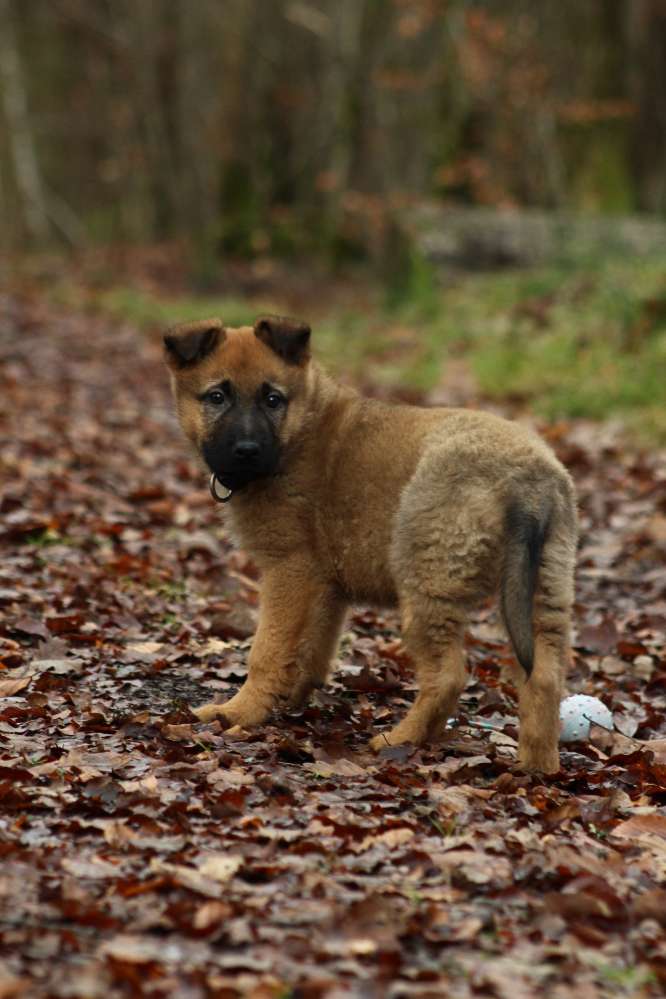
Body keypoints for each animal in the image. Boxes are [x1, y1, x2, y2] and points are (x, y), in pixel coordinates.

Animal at [163, 314, 572, 772]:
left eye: (272, 399)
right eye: (217, 397)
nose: (247, 450)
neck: (302, 429)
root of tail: (525, 480)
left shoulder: (289, 569)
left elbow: (267, 650)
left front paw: (238, 714)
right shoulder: (325, 585)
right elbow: (311, 649)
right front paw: (287, 700)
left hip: (427, 584)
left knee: (448, 675)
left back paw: (401, 739)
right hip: (543, 590)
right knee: (544, 676)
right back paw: (537, 766)